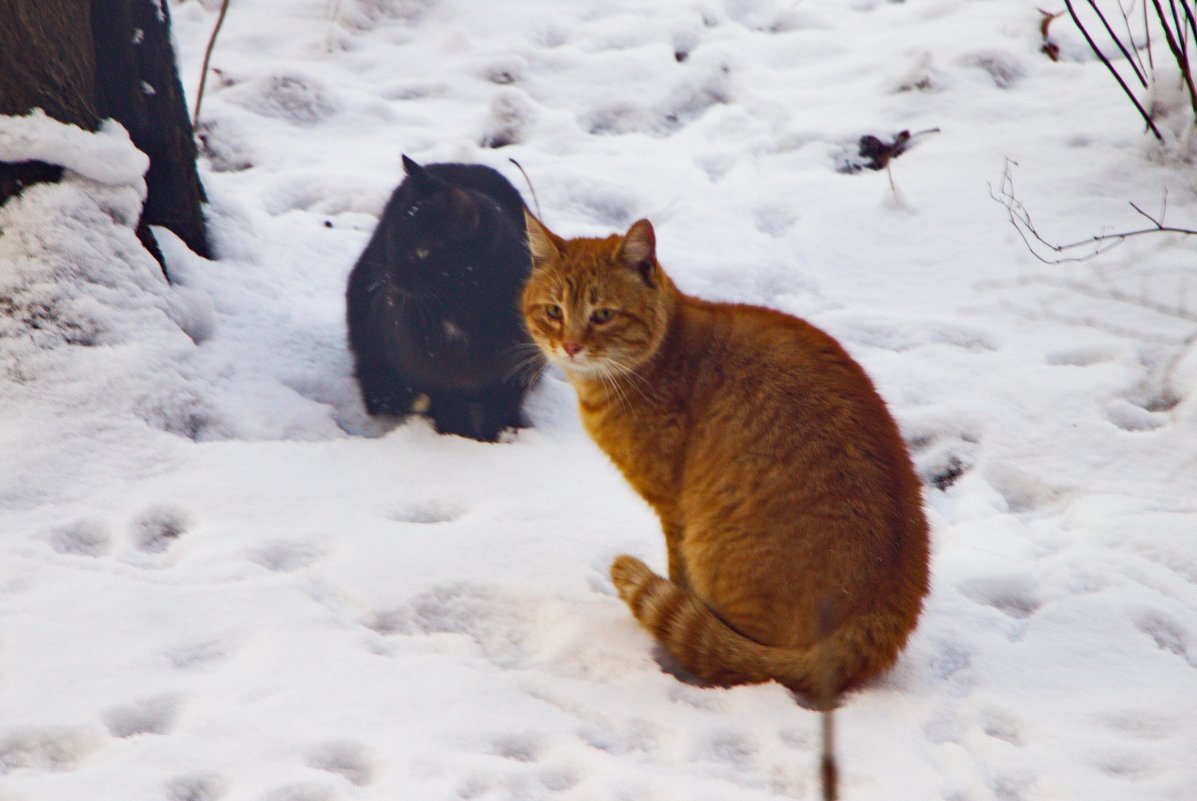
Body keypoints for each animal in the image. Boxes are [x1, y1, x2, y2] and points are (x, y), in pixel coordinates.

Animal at [344, 154, 545, 443]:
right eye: (393, 241)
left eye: (422, 251)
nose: (390, 275)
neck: (460, 308)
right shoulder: (435, 375)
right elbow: (451, 407)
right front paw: (459, 438)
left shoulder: (516, 367)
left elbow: (503, 405)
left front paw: (500, 437)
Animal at [521, 210, 924, 694]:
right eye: (554, 311)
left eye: (602, 315)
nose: (571, 346)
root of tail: (881, 612)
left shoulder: (674, 513)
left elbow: (679, 579)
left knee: (744, 662)